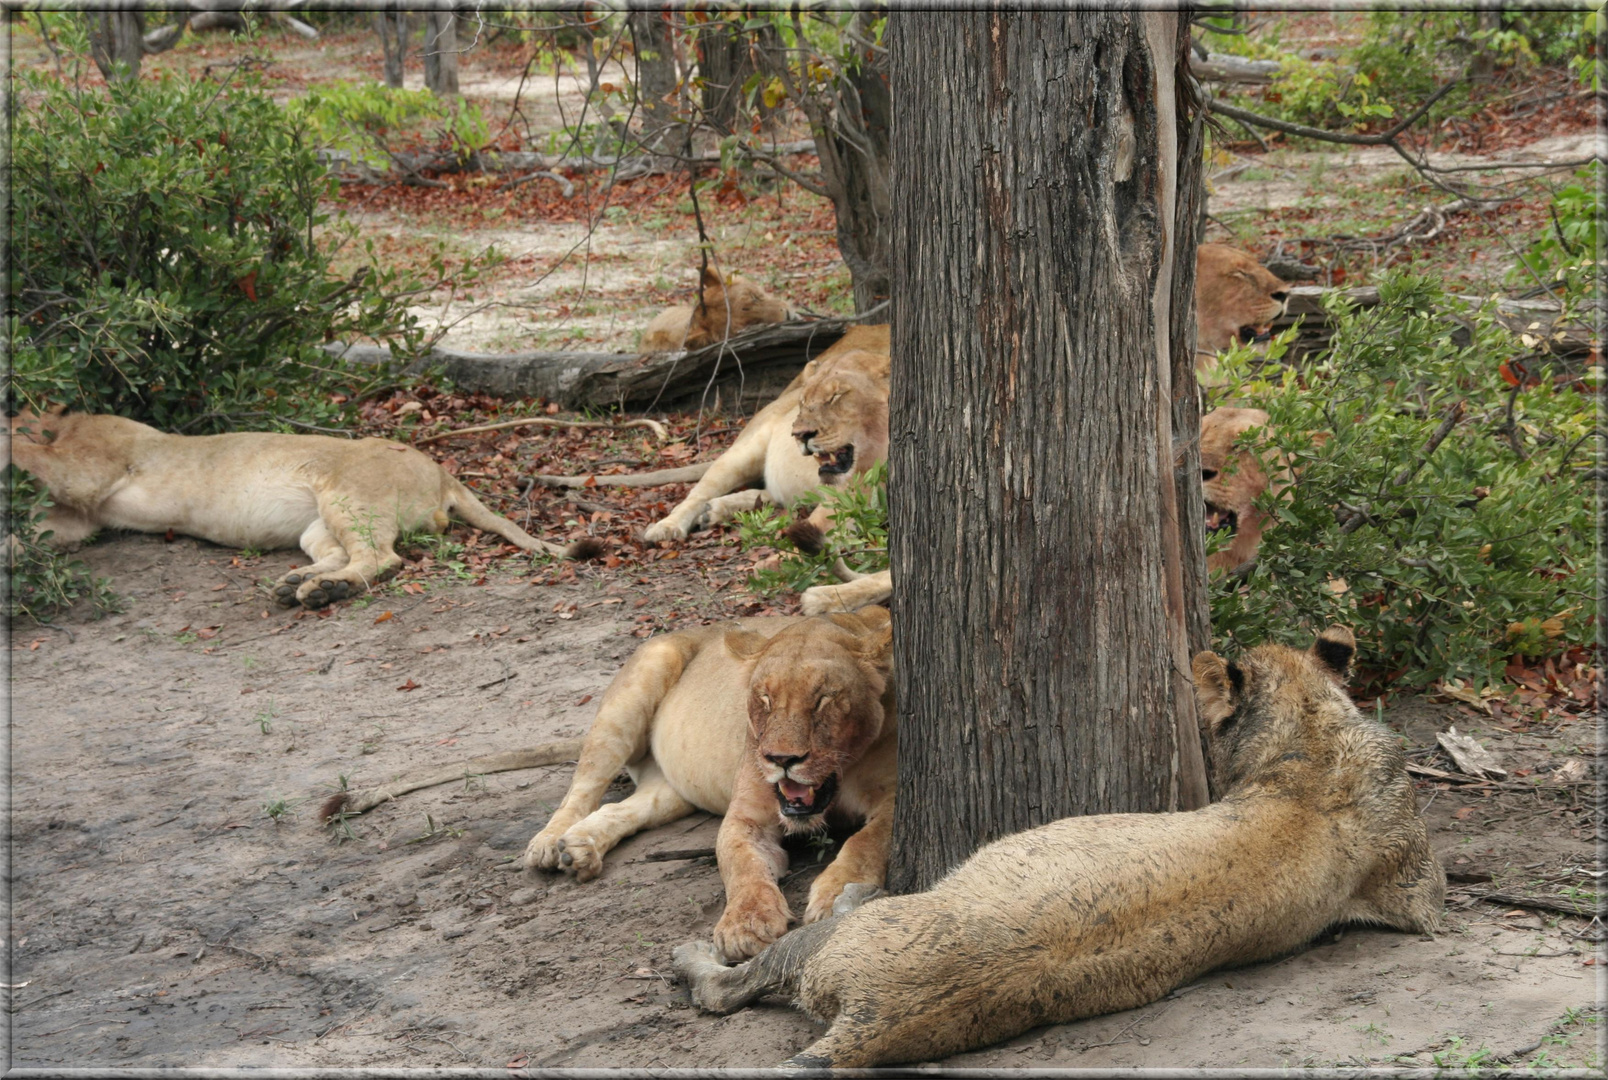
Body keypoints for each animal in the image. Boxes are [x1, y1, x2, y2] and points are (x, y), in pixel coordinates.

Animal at [636, 318, 894, 540]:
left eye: (836, 396)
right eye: (804, 400)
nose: (799, 435)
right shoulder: (843, 500)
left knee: (773, 495)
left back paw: (715, 510)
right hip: (743, 453)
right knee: (698, 493)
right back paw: (668, 527)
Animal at [672, 623, 1453, 1073]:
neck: (1314, 743)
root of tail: (872, 1025)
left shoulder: (1419, 887)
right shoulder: (1416, 889)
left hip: (840, 938)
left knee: (734, 986)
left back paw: (707, 951)